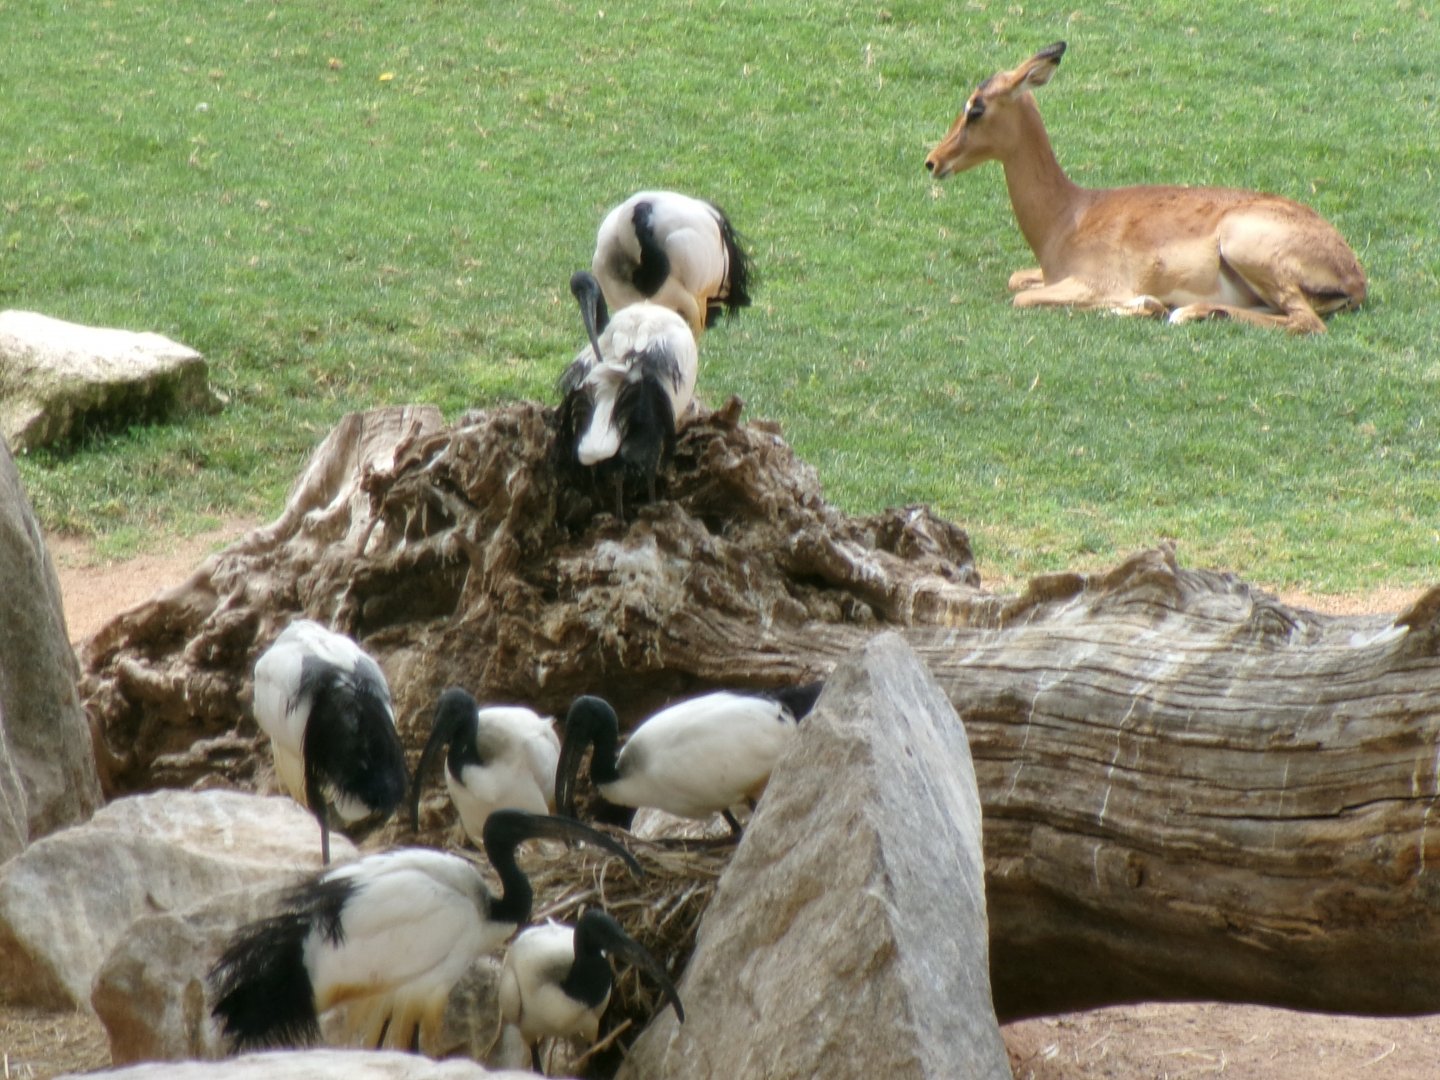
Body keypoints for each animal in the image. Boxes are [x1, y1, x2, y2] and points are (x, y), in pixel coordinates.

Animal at [923, 42, 1367, 334]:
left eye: (976, 107)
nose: (933, 161)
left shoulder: (1090, 283)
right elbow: (1016, 279)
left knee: (1306, 322)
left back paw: (1179, 312)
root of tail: (1355, 276)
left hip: (1246, 249)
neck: (1067, 217)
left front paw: (1143, 304)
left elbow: (1023, 296)